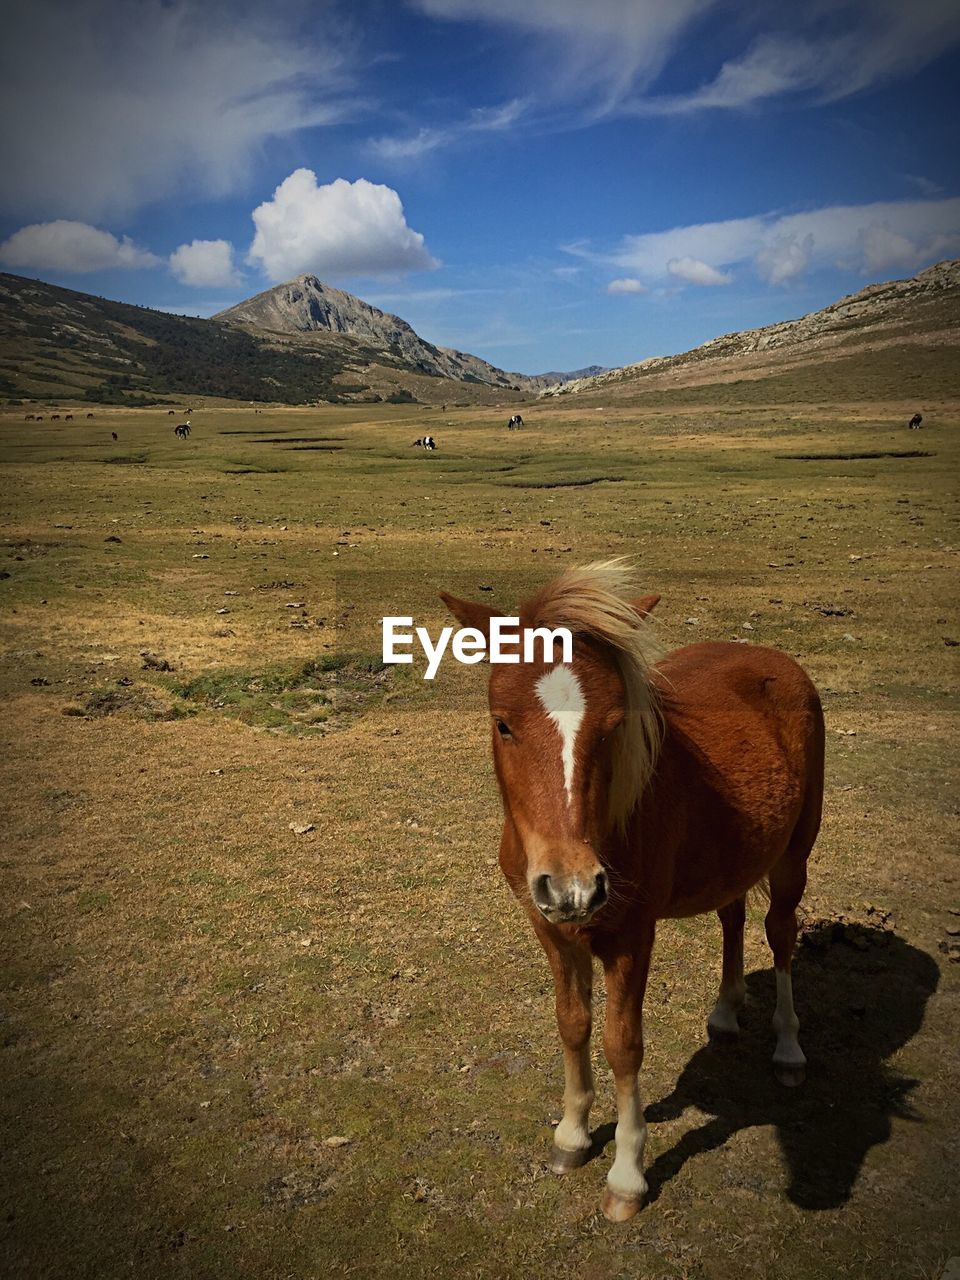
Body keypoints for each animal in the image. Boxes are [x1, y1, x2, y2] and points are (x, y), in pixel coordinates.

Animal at [442, 565, 829, 1223]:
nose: (573, 885)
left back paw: (788, 1050)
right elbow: (572, 1024)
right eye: (503, 723)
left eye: (615, 724)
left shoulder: (630, 938)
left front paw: (626, 1175)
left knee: (780, 935)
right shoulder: (552, 931)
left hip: (792, 859)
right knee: (731, 918)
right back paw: (725, 1013)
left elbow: (623, 1044)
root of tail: (778, 661)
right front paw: (571, 1137)